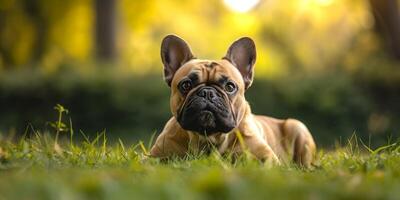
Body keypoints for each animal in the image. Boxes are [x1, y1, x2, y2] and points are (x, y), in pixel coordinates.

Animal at [150, 34, 316, 166]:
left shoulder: (268, 158)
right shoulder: (154, 156)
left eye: (230, 86)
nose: (207, 92)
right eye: (186, 85)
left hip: (297, 126)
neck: (209, 137)